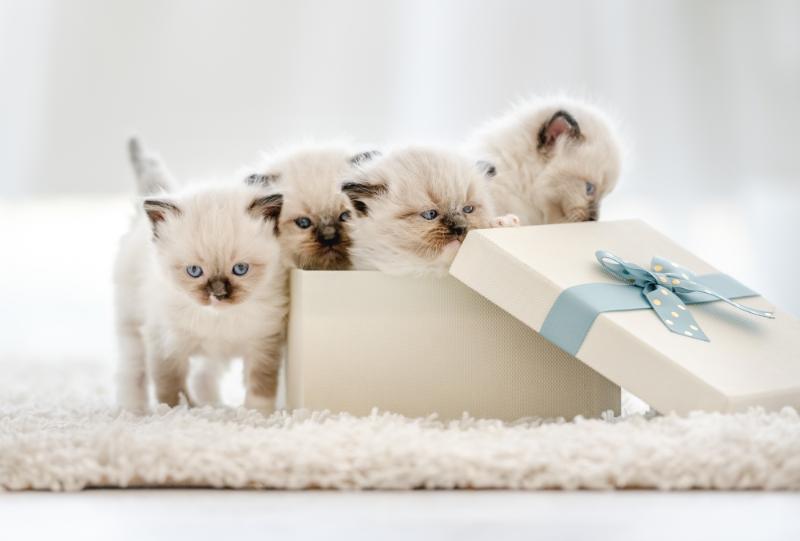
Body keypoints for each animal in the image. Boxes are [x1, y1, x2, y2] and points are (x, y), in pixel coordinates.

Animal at [111, 179, 288, 412]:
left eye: (240, 269)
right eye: (194, 271)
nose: (218, 294)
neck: (217, 319)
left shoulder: (263, 342)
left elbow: (261, 386)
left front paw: (258, 414)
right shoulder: (166, 344)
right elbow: (171, 388)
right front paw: (178, 411)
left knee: (203, 376)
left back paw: (213, 405)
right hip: (131, 329)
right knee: (132, 374)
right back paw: (135, 410)